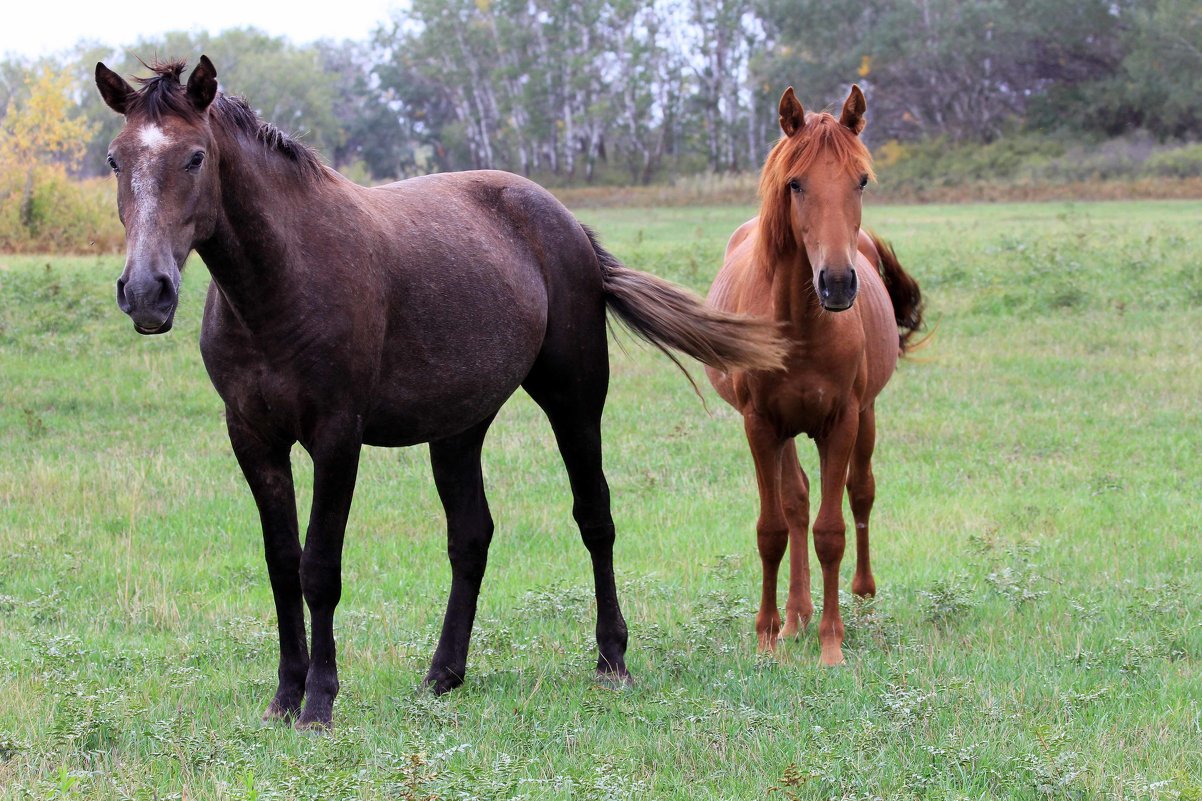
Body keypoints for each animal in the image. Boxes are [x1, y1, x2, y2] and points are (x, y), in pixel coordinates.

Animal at [96, 56, 788, 726]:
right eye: (115, 159)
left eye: (196, 157)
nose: (147, 292)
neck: (281, 284)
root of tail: (566, 223)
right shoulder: (253, 438)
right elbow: (281, 564)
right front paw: (284, 697)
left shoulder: (336, 438)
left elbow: (319, 568)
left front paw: (318, 702)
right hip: (458, 429)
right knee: (471, 537)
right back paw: (443, 673)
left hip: (574, 400)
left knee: (595, 517)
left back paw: (611, 658)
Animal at [706, 84, 923, 663]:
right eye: (795, 183)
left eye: (860, 180)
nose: (838, 283)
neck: (801, 325)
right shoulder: (760, 424)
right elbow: (773, 528)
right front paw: (767, 635)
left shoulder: (840, 421)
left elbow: (831, 531)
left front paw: (831, 645)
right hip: (784, 430)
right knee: (796, 501)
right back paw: (794, 617)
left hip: (866, 415)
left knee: (860, 491)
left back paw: (857, 595)